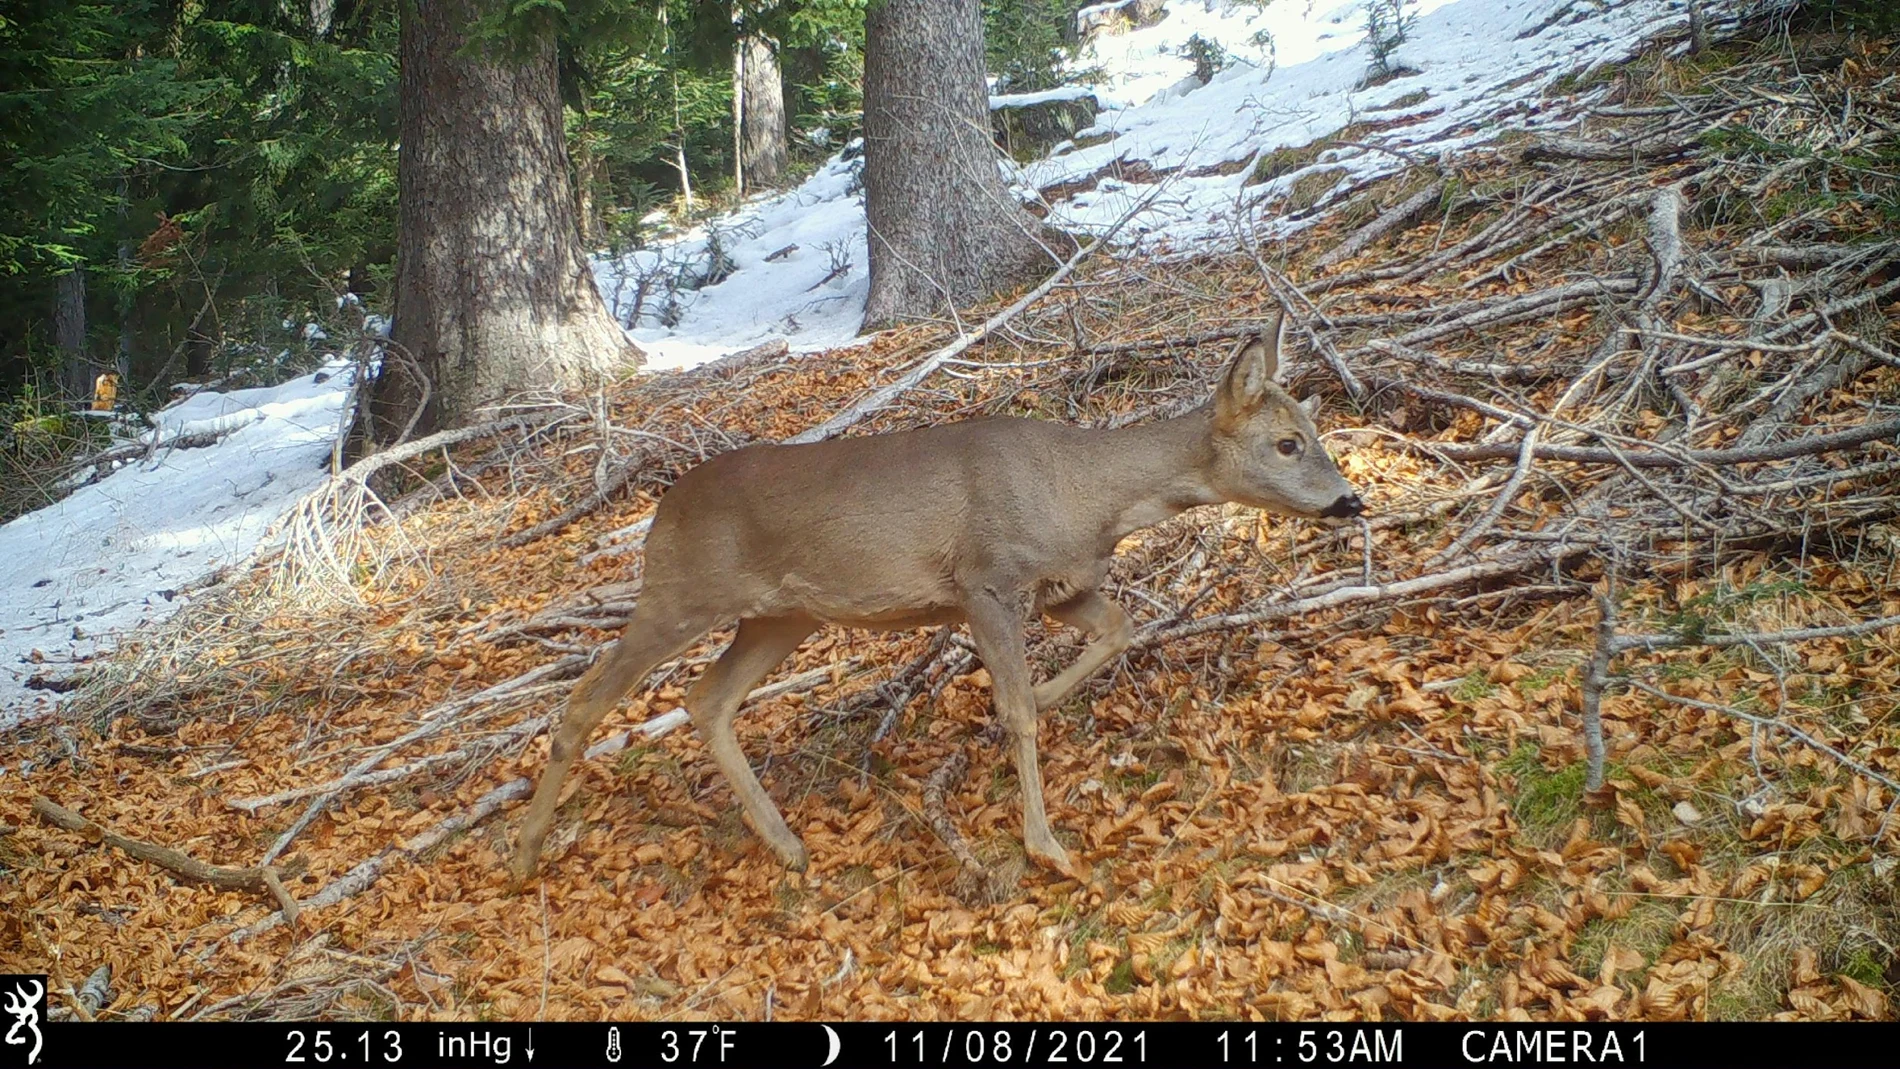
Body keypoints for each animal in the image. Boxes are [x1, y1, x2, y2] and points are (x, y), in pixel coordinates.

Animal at [511, 312, 1363, 883]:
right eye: (1287, 443)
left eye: (1314, 430)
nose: (1350, 501)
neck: (1087, 493)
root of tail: (660, 510)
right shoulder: (986, 579)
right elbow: (1017, 710)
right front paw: (1047, 846)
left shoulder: (1059, 587)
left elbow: (1118, 626)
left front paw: (1046, 699)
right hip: (681, 593)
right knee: (583, 704)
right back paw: (523, 848)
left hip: (781, 616)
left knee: (704, 699)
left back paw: (787, 844)